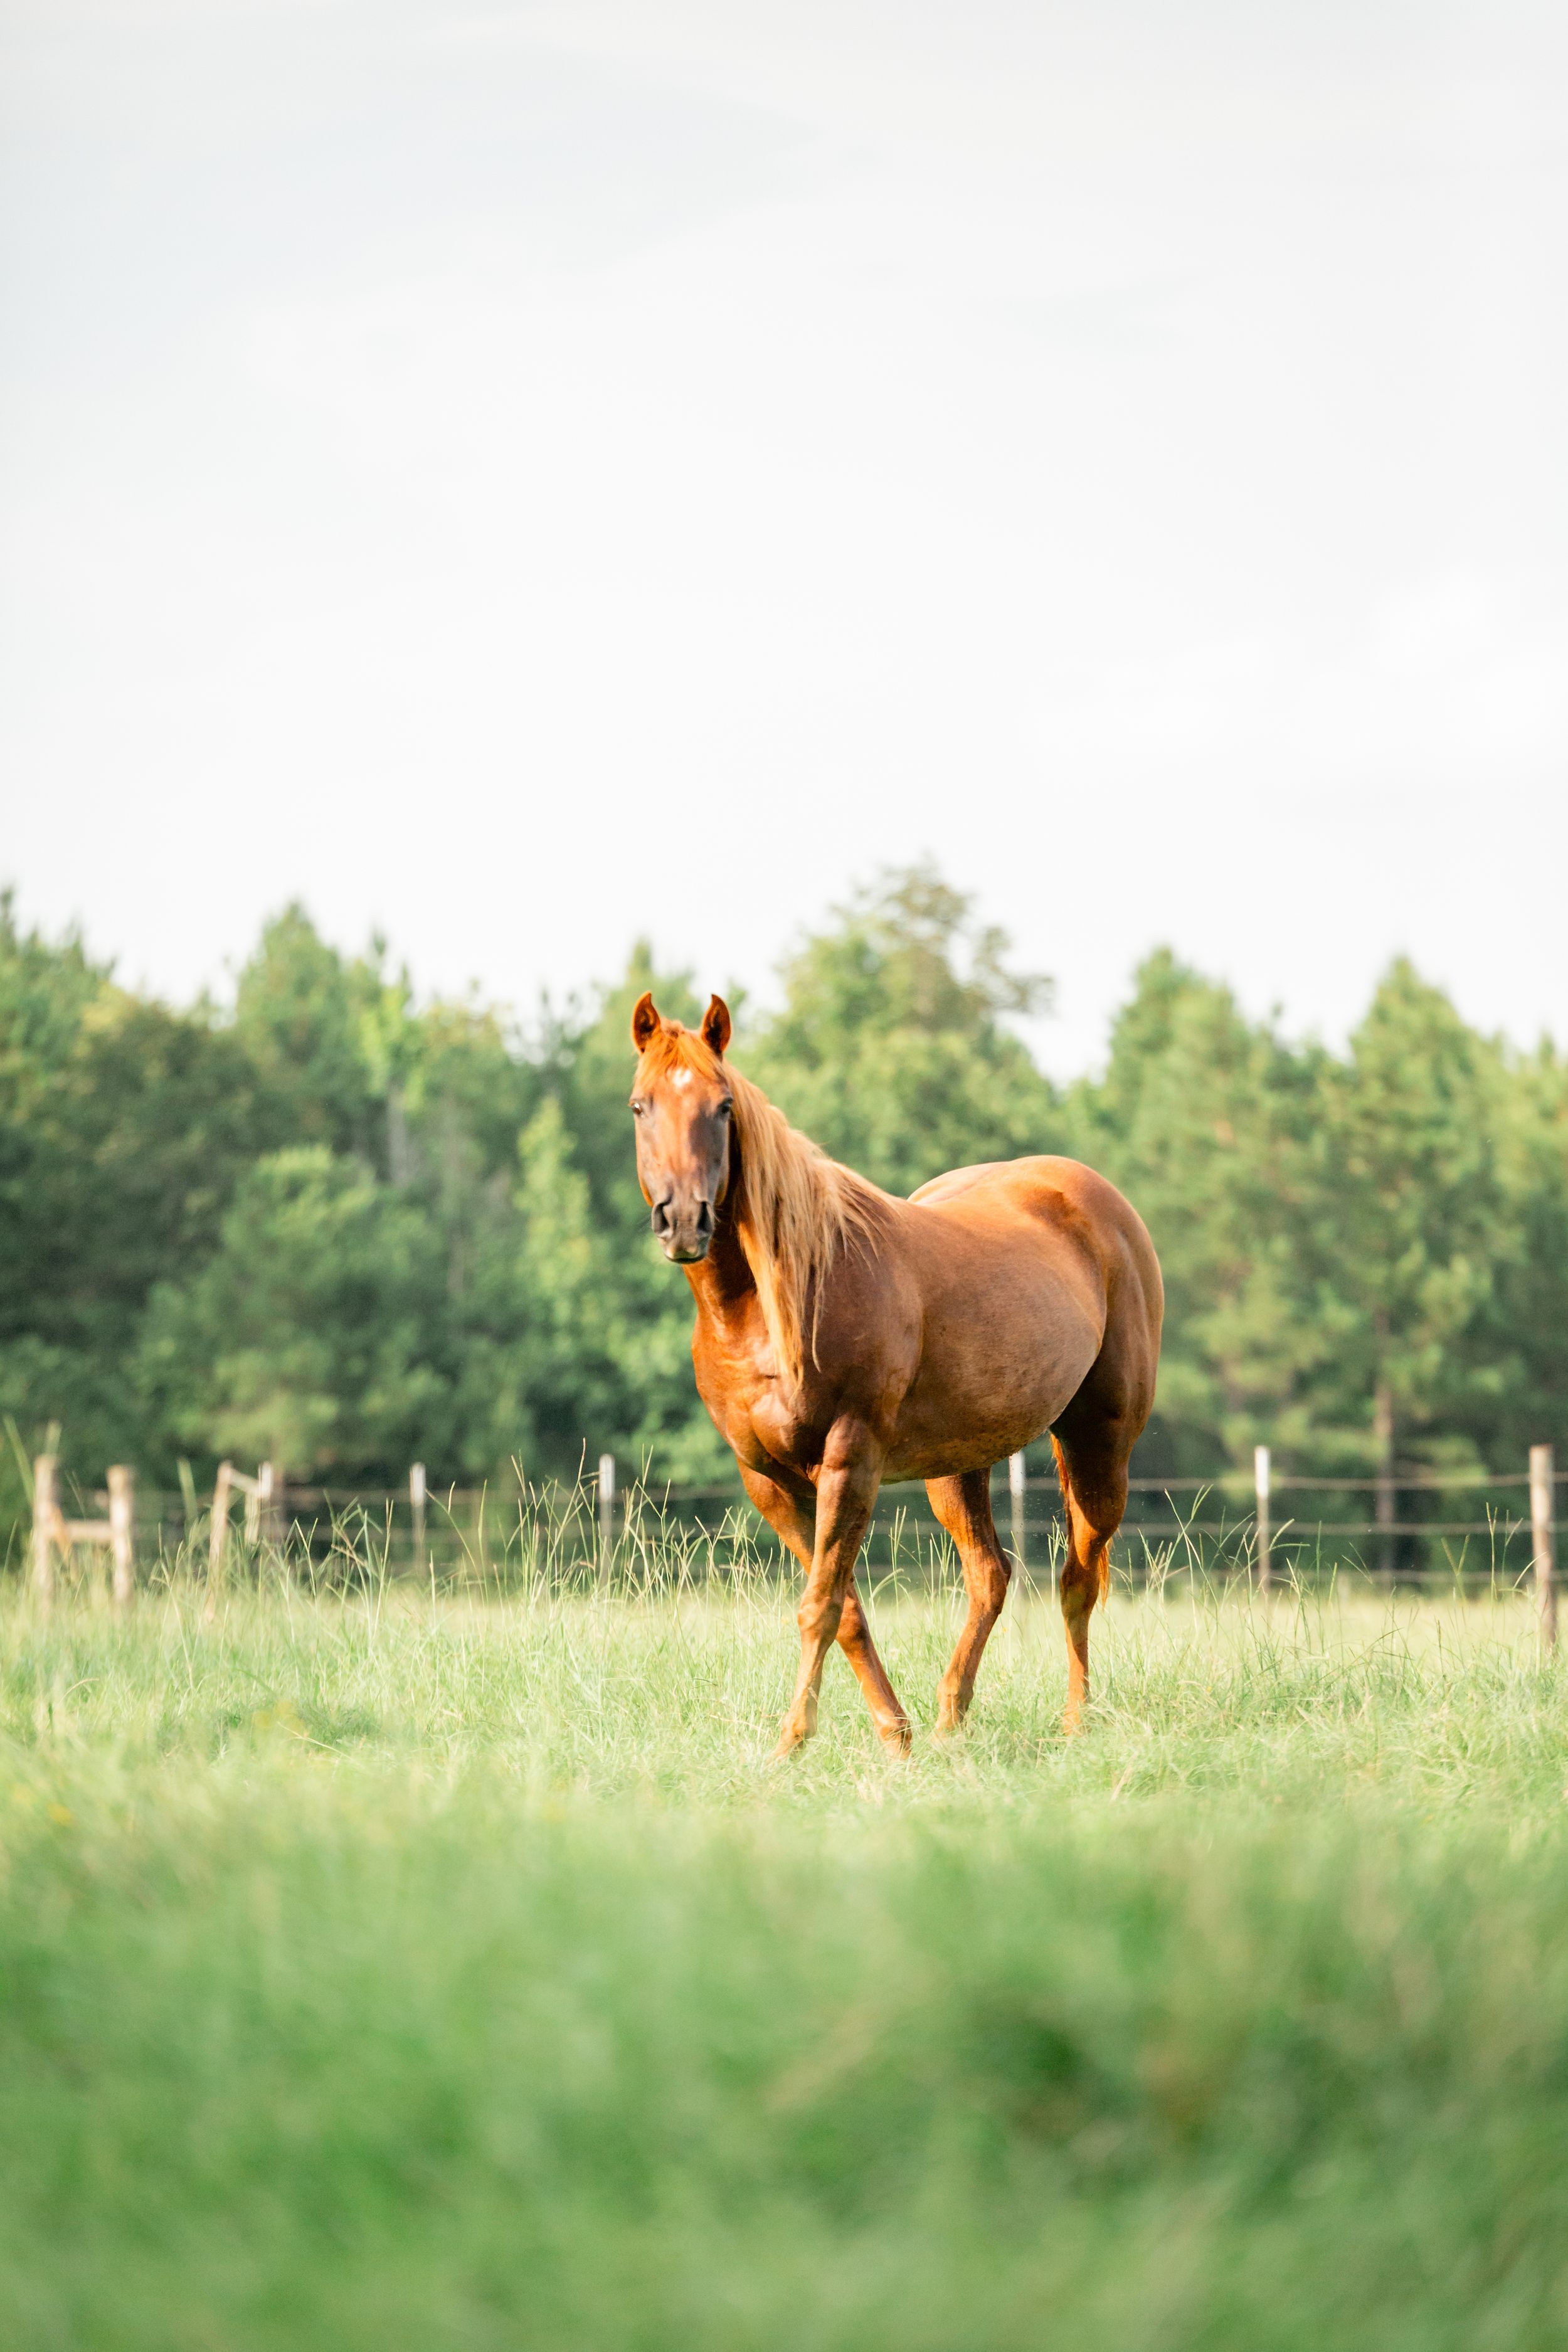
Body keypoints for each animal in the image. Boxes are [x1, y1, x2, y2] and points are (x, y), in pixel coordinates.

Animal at [628, 991, 1163, 1756]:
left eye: (723, 1106)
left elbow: (821, 1605)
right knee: (991, 1575)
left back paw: (1074, 1724)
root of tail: (1098, 1199)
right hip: (958, 1466)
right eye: (639, 1106)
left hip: (1098, 1446)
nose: (683, 1220)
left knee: (1076, 1580)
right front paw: (895, 1736)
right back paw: (949, 1722)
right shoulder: (768, 1480)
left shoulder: (850, 1460)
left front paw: (791, 1743)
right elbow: (845, 1607)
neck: (777, 1303)